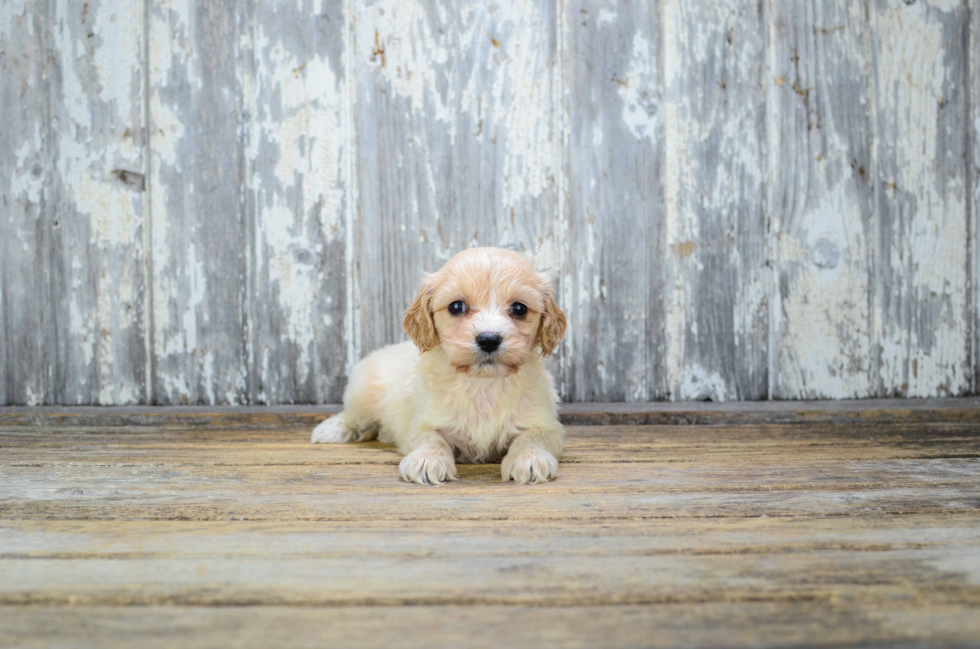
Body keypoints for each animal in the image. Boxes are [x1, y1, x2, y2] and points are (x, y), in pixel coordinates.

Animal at [306, 246, 568, 484]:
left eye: (519, 308)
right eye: (456, 306)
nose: (488, 339)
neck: (482, 384)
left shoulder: (546, 423)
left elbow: (533, 436)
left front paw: (530, 458)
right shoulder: (423, 421)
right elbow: (431, 438)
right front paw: (426, 460)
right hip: (361, 392)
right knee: (352, 416)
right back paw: (333, 428)